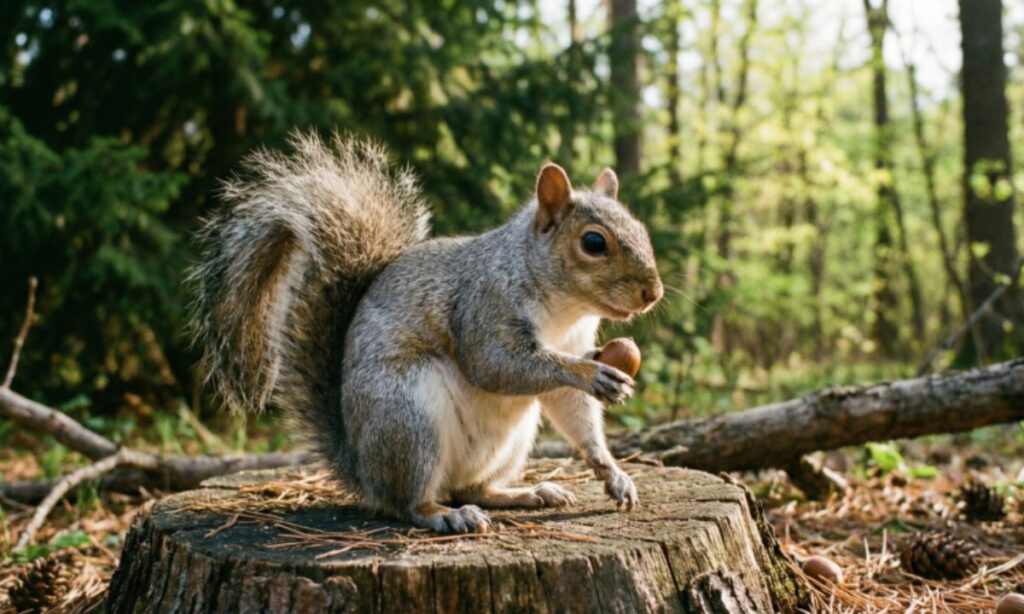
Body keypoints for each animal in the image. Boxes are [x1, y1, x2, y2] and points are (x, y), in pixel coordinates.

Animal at [189, 132, 664, 533]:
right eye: (593, 243)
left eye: (642, 229)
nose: (653, 292)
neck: (565, 310)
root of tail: (360, 470)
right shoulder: (484, 307)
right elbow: (494, 365)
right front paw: (592, 373)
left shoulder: (570, 342)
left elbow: (571, 408)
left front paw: (614, 474)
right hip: (409, 419)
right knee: (409, 502)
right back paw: (444, 515)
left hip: (508, 442)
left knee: (474, 489)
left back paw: (528, 492)